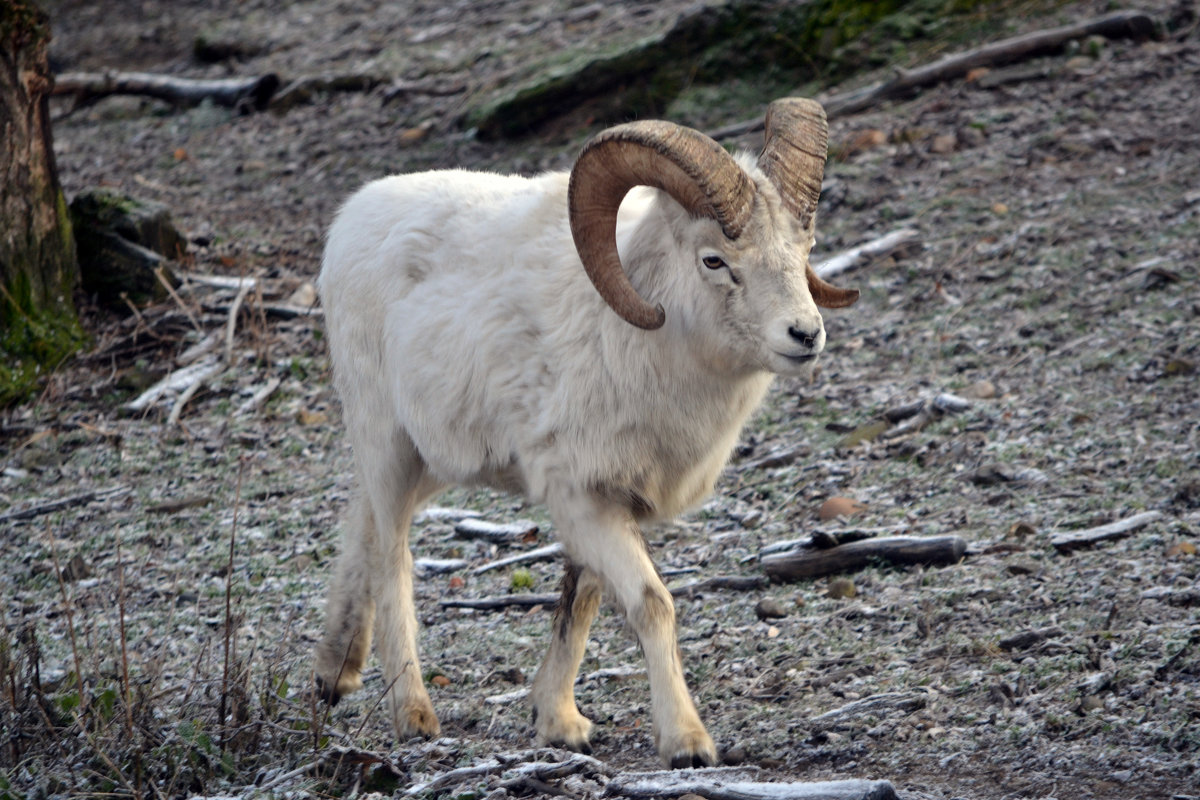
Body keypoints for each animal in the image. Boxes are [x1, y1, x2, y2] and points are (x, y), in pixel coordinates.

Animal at [314, 97, 859, 767]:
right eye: (714, 260)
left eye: (804, 245)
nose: (804, 335)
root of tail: (351, 220)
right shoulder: (582, 499)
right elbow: (650, 604)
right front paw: (687, 743)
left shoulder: (607, 502)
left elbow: (580, 604)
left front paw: (558, 723)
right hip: (388, 442)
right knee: (392, 554)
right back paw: (413, 717)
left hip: (428, 461)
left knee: (360, 520)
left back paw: (333, 675)